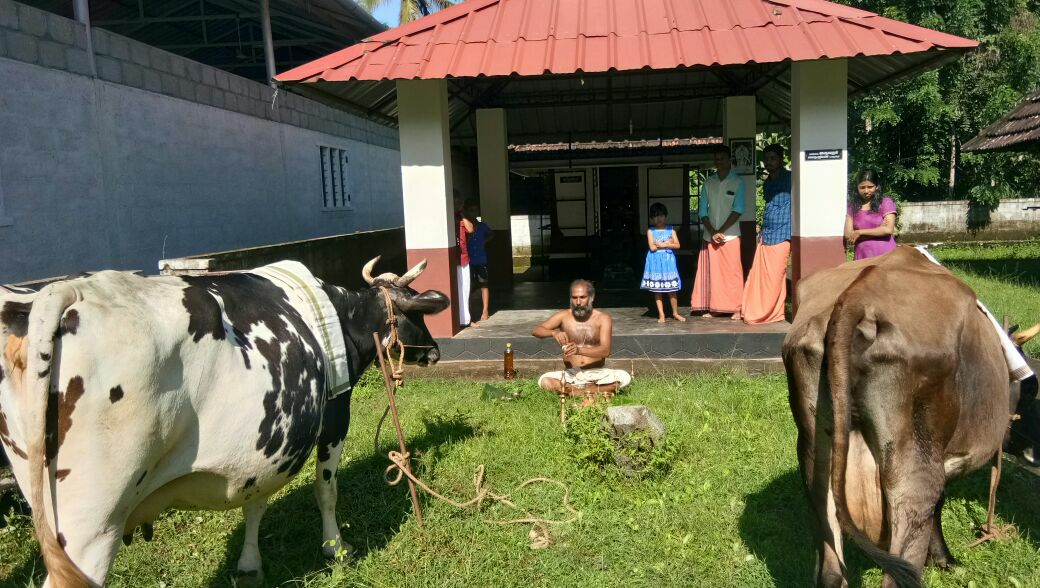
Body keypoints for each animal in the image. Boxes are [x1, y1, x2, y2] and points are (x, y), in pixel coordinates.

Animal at [0, 257, 445, 586]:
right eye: (417, 314)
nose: (435, 352)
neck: (341, 316)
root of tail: (65, 291)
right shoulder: (335, 416)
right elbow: (326, 491)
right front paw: (336, 548)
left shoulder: (267, 446)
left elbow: (256, 501)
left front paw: (249, 564)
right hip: (93, 523)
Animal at [782, 246, 1035, 586]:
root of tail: (858, 295)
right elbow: (939, 505)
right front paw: (944, 559)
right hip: (912, 466)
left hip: (817, 455)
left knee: (831, 567)